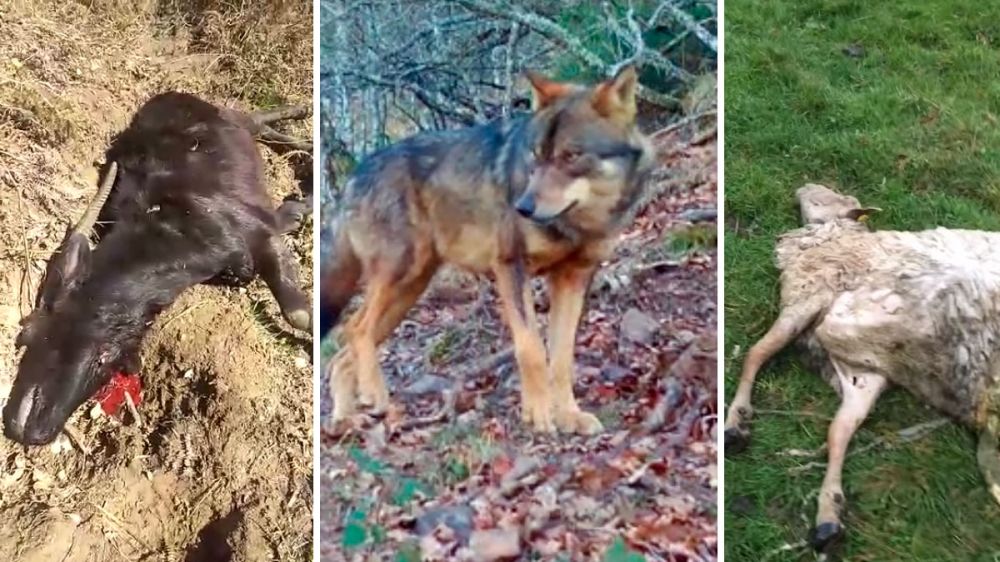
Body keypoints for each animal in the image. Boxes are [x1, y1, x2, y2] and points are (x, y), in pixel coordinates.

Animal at [1, 91, 310, 442]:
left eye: (103, 358)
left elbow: (298, 314)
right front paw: (296, 210)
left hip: (235, 120)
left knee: (257, 120)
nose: (26, 427)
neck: (175, 233)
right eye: (25, 333)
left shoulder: (261, 236)